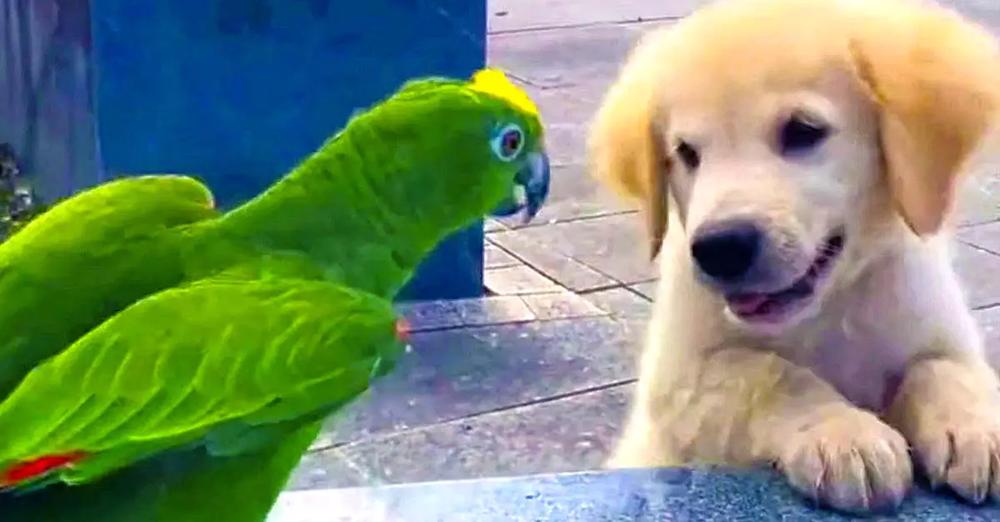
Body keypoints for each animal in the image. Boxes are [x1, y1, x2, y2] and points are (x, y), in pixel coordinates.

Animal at [588, 0, 1000, 512]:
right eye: (686, 153)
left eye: (803, 131)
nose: (719, 249)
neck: (827, 311)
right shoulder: (678, 382)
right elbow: (767, 375)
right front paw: (845, 436)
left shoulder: (940, 329)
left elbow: (944, 369)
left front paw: (976, 425)